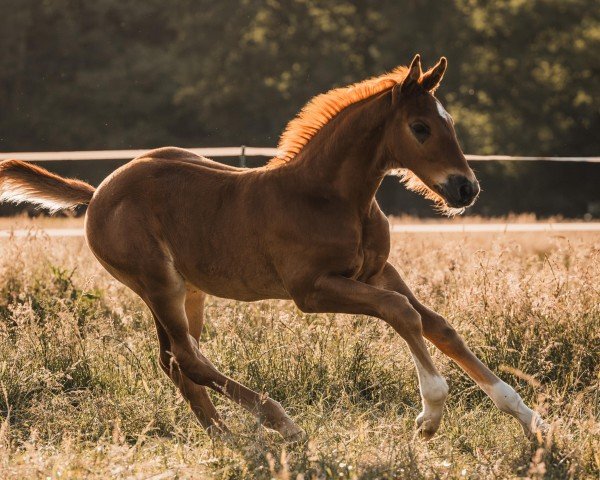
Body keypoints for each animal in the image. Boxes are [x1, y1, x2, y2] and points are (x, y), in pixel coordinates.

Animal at [0, 54, 544, 440]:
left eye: (450, 123)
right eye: (421, 127)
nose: (465, 189)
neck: (329, 195)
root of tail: (97, 194)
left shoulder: (377, 272)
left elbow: (439, 325)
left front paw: (527, 416)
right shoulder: (312, 290)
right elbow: (401, 313)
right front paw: (430, 413)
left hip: (188, 289)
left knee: (176, 360)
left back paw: (227, 436)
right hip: (157, 282)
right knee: (188, 358)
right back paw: (280, 423)